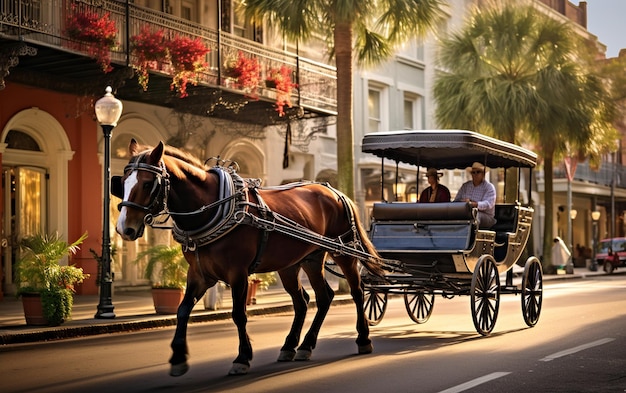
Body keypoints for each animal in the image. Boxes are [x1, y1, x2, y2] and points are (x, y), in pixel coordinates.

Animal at [114, 139, 382, 376]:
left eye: (147, 183)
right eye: (122, 182)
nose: (124, 229)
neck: (212, 206)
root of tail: (335, 191)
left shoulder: (238, 273)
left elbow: (239, 314)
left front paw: (242, 358)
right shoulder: (199, 274)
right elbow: (182, 310)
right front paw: (178, 358)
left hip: (343, 252)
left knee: (357, 292)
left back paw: (362, 338)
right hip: (303, 260)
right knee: (314, 299)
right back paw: (298, 345)